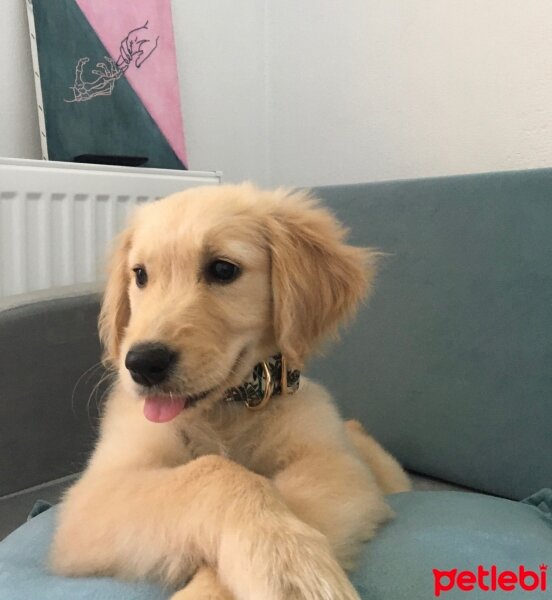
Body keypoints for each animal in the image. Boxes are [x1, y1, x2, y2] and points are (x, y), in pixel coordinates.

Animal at [50, 184, 410, 600]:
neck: (225, 408)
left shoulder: (335, 464)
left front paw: (286, 565)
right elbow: (214, 471)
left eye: (223, 269)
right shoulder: (96, 492)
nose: (141, 364)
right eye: (139, 275)